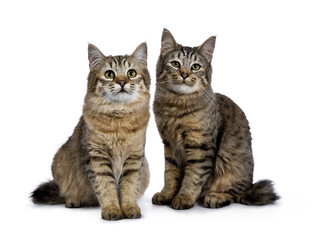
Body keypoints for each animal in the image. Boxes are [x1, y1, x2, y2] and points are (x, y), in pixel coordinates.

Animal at [30, 42, 151, 220]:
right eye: (109, 74)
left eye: (131, 73)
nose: (122, 82)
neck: (119, 120)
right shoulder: (97, 158)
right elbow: (106, 188)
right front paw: (111, 209)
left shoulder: (134, 159)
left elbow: (128, 188)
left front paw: (130, 208)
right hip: (60, 162)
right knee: (66, 193)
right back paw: (73, 201)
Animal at [151, 29, 278, 210]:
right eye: (175, 64)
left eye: (195, 66)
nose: (184, 74)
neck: (177, 106)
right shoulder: (169, 146)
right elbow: (170, 175)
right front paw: (166, 194)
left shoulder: (200, 147)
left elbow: (193, 177)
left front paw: (184, 197)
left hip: (233, 165)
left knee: (235, 194)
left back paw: (215, 197)